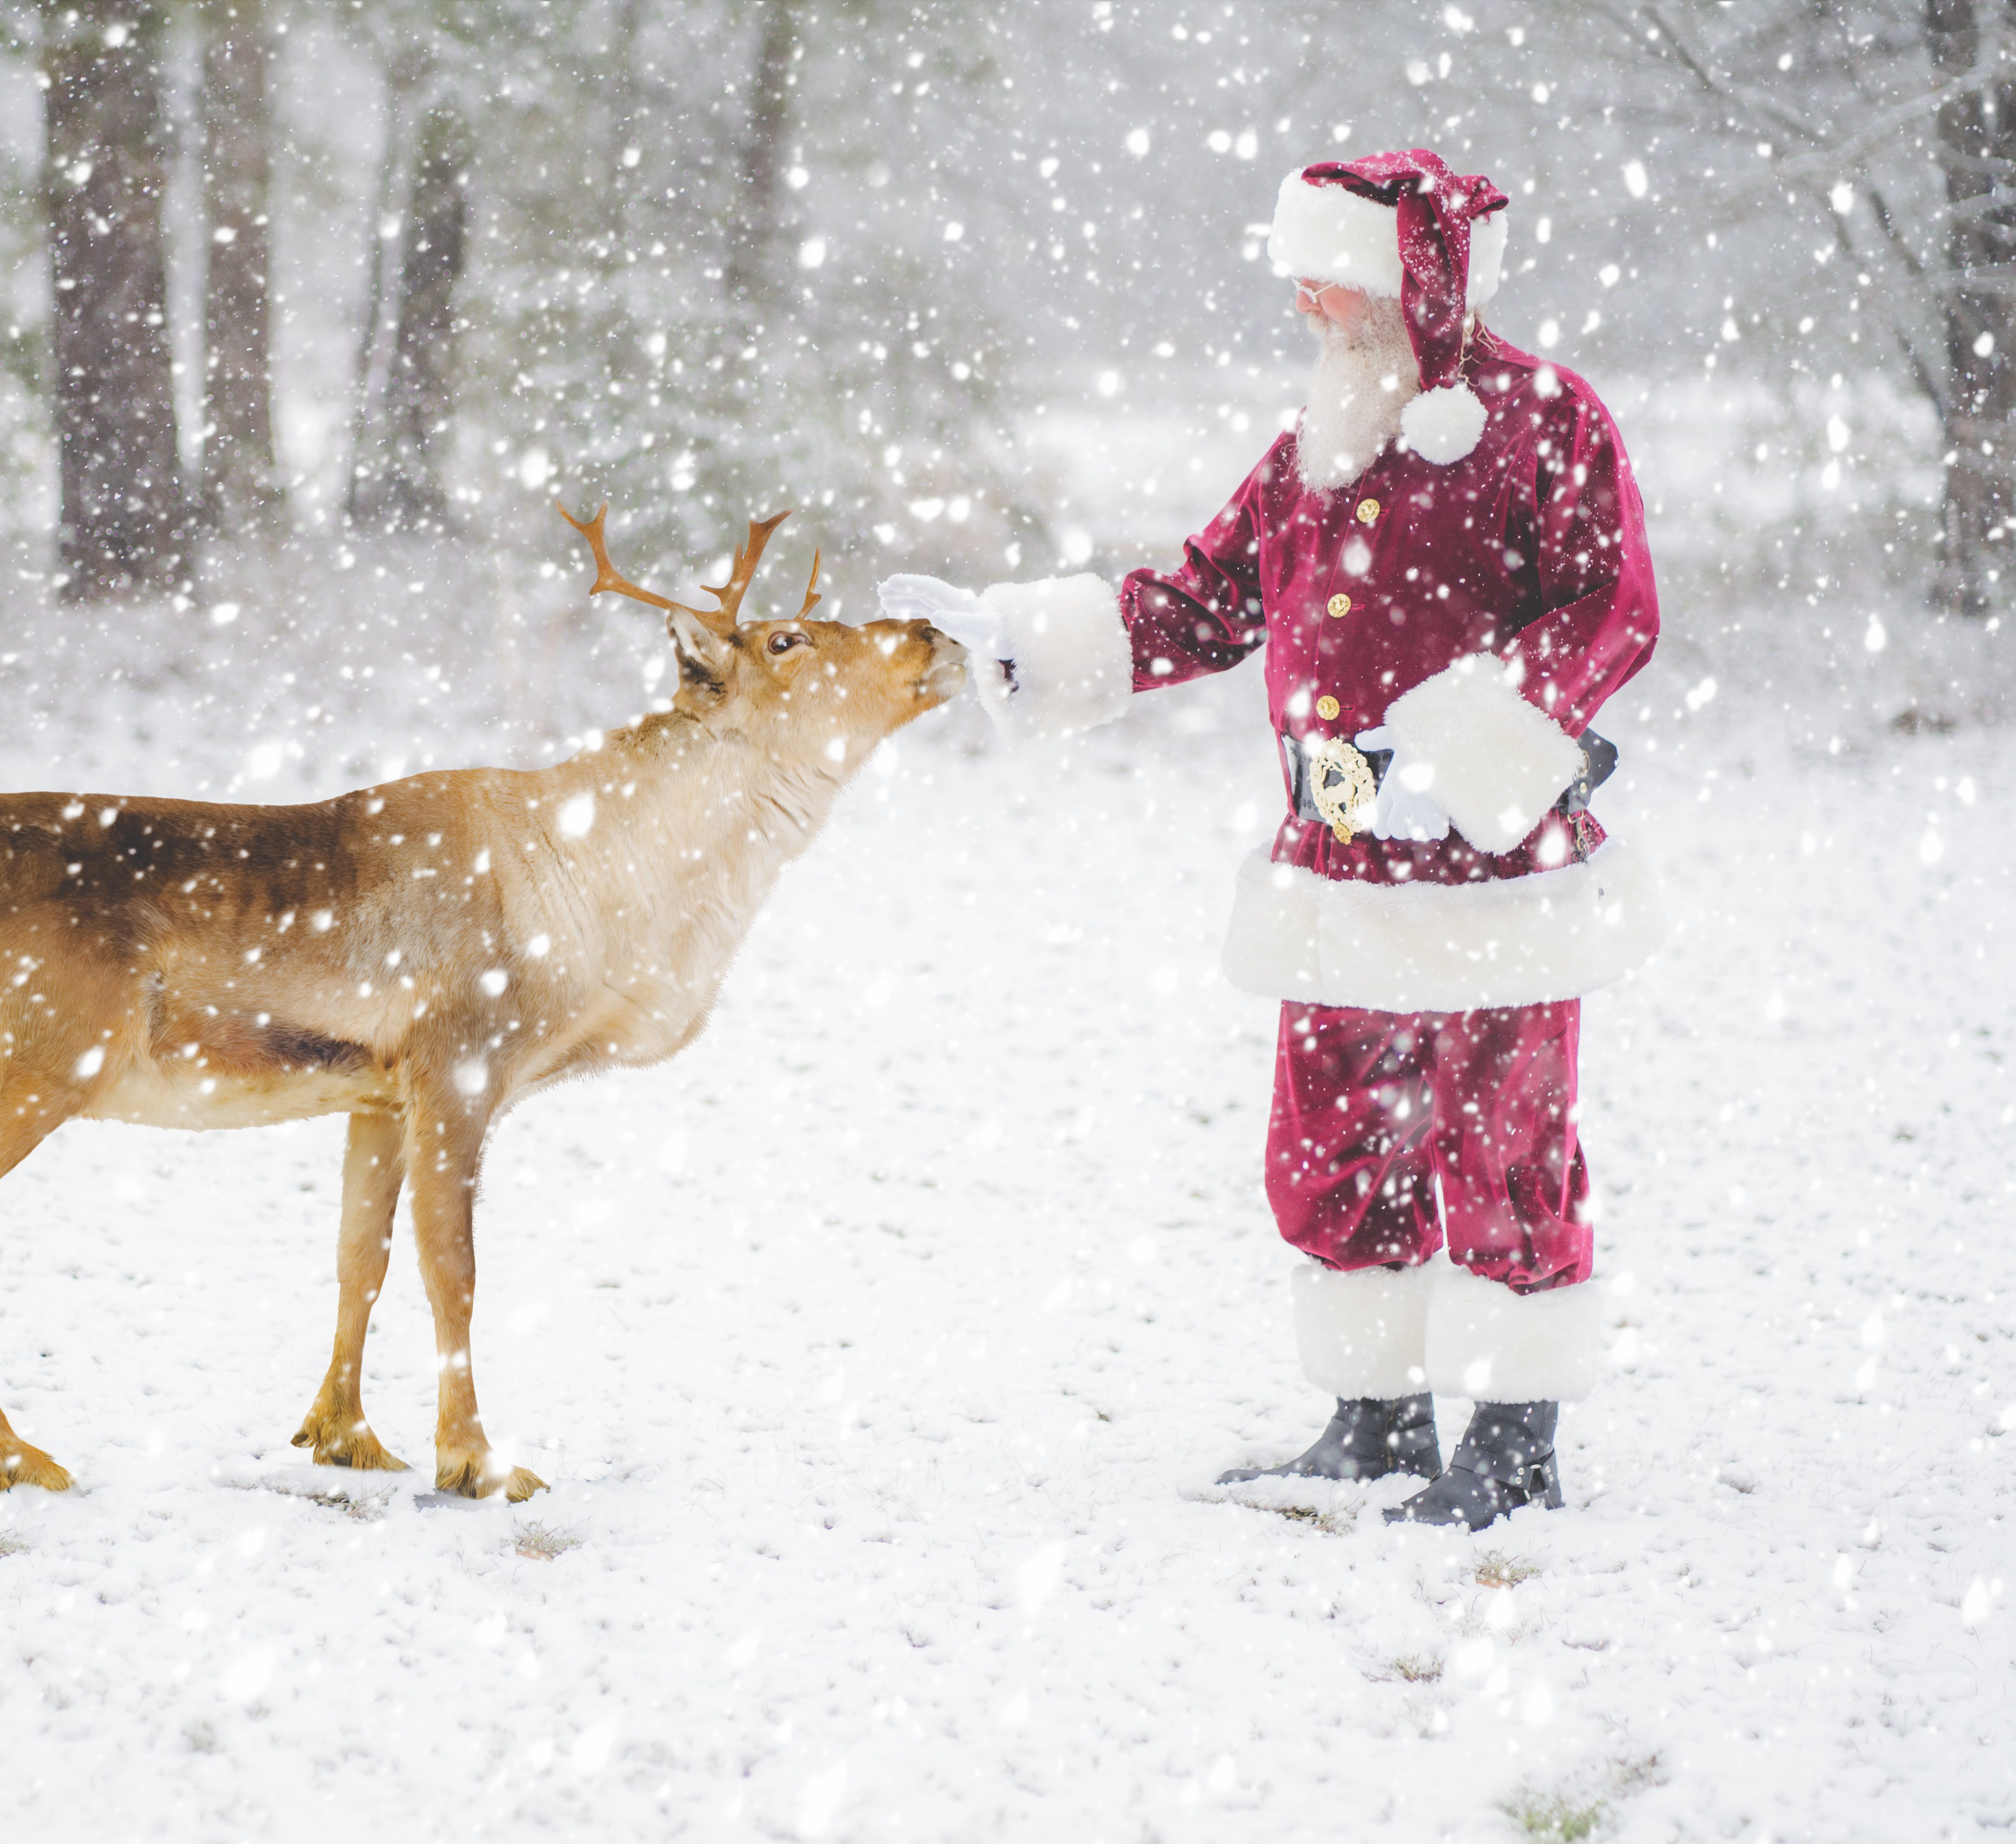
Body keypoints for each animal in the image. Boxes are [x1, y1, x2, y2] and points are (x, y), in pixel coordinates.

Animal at [0, 506, 966, 1500]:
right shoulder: (458, 1065)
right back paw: (27, 1459)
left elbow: (361, 1257)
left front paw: (346, 1435)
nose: (933, 632)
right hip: (44, 1062)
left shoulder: (376, 1094)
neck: (600, 892)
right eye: (786, 638)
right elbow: (452, 1265)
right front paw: (476, 1460)